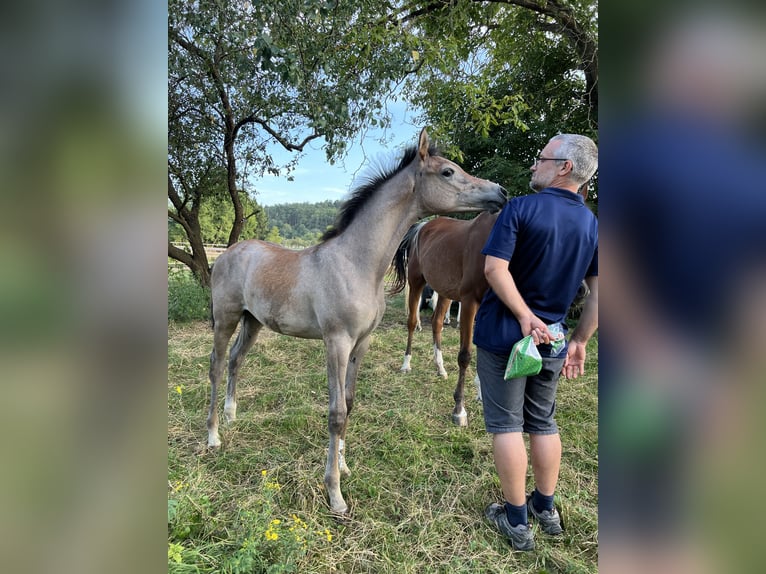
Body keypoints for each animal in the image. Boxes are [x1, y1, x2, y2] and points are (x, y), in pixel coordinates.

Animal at [390, 213, 498, 428]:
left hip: (444, 291)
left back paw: (440, 368)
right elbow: (465, 355)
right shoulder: (470, 301)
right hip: (416, 282)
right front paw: (459, 410)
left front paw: (482, 394)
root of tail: (422, 226)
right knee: (412, 322)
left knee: (437, 322)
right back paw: (406, 364)